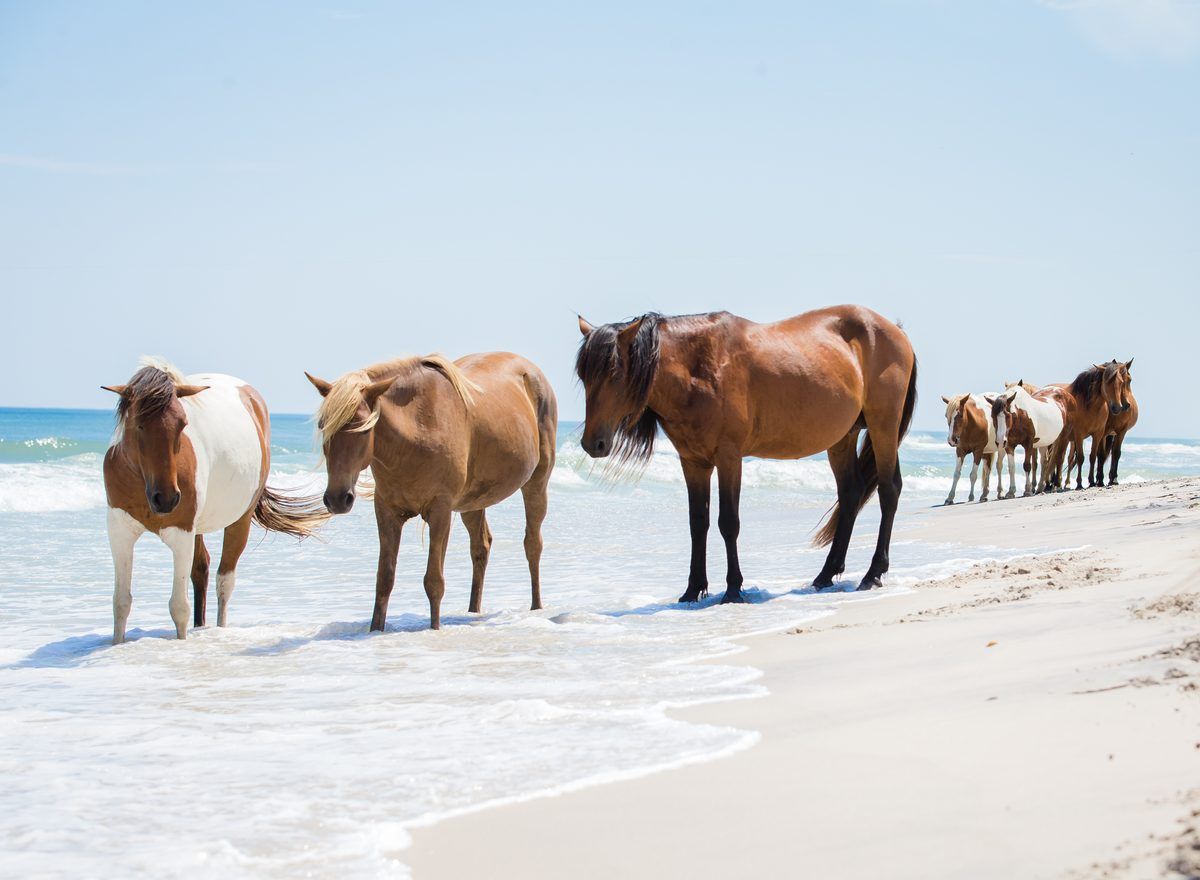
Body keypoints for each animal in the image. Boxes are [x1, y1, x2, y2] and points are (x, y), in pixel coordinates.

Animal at [102, 357, 328, 644]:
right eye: (138, 425)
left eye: (182, 424)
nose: (166, 499)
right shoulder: (120, 532)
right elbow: (121, 602)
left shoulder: (180, 533)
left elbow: (178, 607)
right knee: (201, 570)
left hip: (238, 521)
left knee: (225, 580)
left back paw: (220, 628)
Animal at [305, 353, 556, 631]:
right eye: (323, 425)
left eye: (363, 426)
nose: (337, 499)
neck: (416, 430)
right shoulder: (386, 511)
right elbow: (384, 578)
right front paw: (375, 630)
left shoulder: (440, 511)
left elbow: (434, 581)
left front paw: (434, 629)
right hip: (473, 501)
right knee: (481, 547)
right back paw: (473, 611)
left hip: (536, 484)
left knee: (532, 543)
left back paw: (536, 606)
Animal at [576, 306, 917, 597]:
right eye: (583, 375)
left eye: (615, 372)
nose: (593, 443)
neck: (701, 367)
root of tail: (896, 331)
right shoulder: (693, 462)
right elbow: (697, 523)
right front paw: (693, 591)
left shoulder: (729, 458)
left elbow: (728, 522)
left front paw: (733, 590)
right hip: (842, 437)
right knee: (850, 494)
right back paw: (825, 575)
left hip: (883, 425)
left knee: (888, 490)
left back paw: (873, 573)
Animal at [1047, 360, 1133, 491]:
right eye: (1107, 381)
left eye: (1121, 382)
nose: (1117, 407)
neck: (1091, 406)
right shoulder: (1079, 434)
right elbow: (1081, 458)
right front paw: (1079, 483)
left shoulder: (1098, 434)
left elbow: (1093, 456)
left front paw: (1092, 481)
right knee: (1053, 458)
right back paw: (1050, 485)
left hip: (1063, 439)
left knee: (1058, 458)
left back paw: (1055, 484)